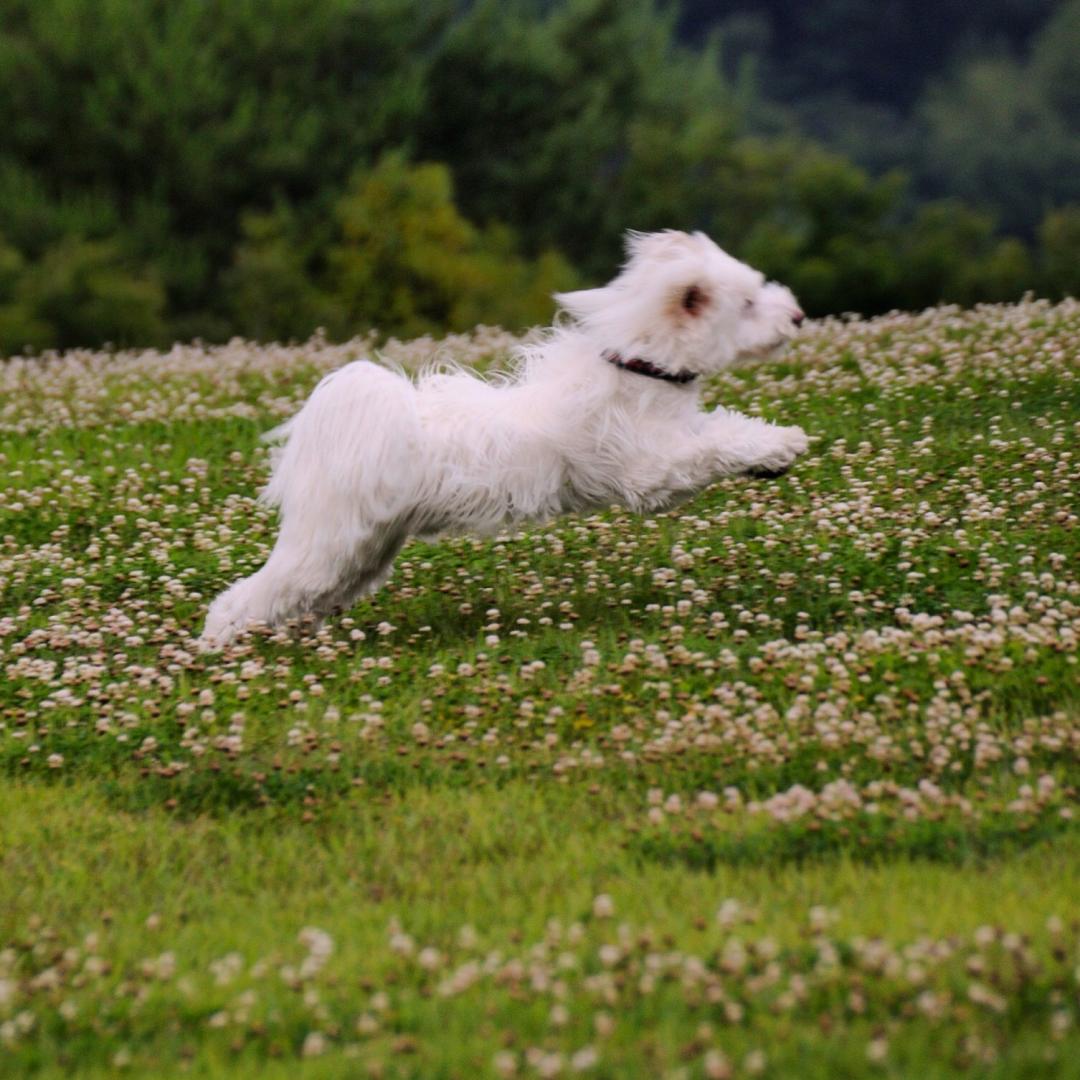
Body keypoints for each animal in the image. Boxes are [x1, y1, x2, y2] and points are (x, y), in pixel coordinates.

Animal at [198, 230, 807, 648]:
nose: (799, 315)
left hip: (361, 551)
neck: (638, 365)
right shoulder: (651, 472)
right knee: (249, 594)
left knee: (301, 596)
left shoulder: (679, 432)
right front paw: (782, 447)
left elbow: (728, 428)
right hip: (328, 545)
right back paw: (216, 644)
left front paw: (773, 450)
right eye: (748, 303)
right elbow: (712, 448)